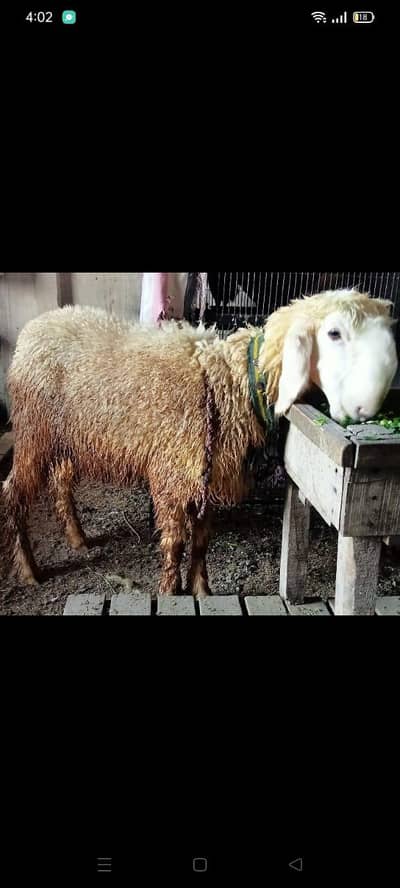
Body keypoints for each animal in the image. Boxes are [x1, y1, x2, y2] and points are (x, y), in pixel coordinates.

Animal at [2, 288, 398, 596]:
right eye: (334, 333)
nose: (365, 408)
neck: (226, 378)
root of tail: (35, 326)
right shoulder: (172, 475)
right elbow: (176, 541)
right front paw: (168, 589)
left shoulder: (208, 473)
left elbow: (203, 539)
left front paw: (200, 589)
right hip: (34, 430)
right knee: (14, 491)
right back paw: (28, 569)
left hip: (68, 436)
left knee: (61, 482)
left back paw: (77, 538)